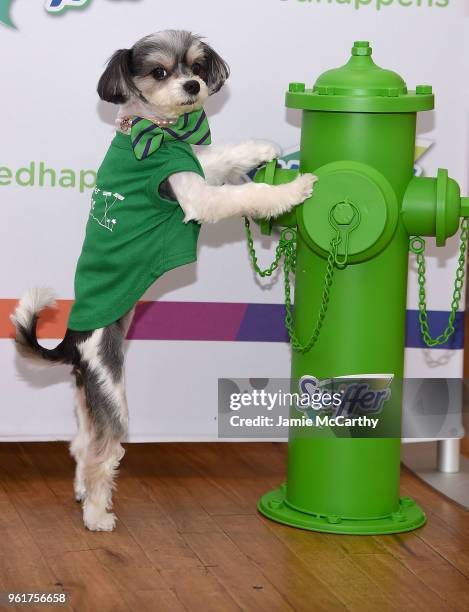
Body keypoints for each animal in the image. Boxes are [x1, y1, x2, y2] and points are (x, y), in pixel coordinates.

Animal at [11, 31, 316, 532]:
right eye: (159, 72)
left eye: (196, 65)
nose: (193, 85)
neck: (154, 130)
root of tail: (72, 343)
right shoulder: (193, 194)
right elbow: (245, 193)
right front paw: (290, 190)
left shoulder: (192, 163)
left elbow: (221, 154)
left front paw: (261, 149)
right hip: (111, 392)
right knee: (100, 454)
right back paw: (97, 514)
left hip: (86, 399)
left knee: (78, 445)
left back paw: (82, 494)